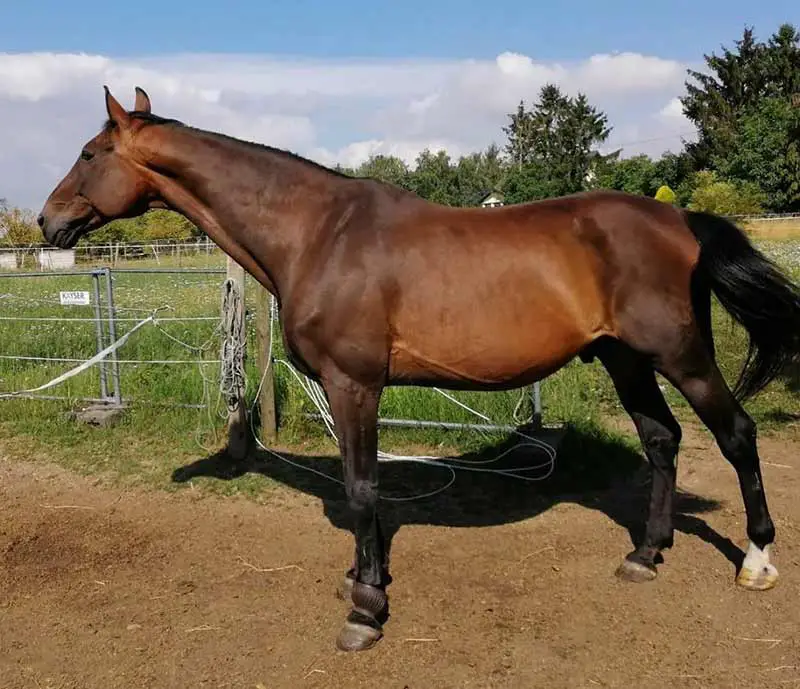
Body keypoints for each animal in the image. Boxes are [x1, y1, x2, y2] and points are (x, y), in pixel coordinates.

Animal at [37, 86, 800, 652]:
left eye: (89, 152)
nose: (46, 222)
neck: (318, 232)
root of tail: (683, 221)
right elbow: (359, 490)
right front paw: (359, 578)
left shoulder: (354, 386)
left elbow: (363, 488)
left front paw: (366, 610)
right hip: (626, 360)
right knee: (662, 440)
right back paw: (646, 553)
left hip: (680, 356)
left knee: (736, 435)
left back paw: (757, 561)